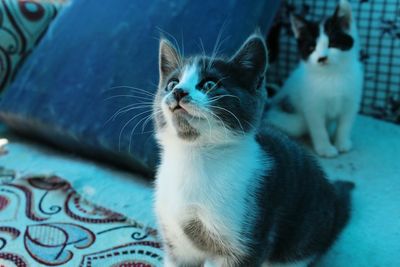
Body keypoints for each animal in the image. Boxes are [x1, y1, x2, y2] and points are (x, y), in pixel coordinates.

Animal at [152, 32, 354, 266]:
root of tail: (334, 202)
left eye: (210, 84)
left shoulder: (247, 240)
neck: (194, 156)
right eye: (171, 83)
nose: (178, 92)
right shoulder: (176, 241)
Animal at [266, 0, 362, 158]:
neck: (331, 75)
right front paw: (325, 148)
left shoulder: (351, 101)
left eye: (333, 43)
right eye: (311, 48)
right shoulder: (312, 106)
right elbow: (318, 128)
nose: (322, 58)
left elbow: (345, 124)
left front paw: (342, 142)